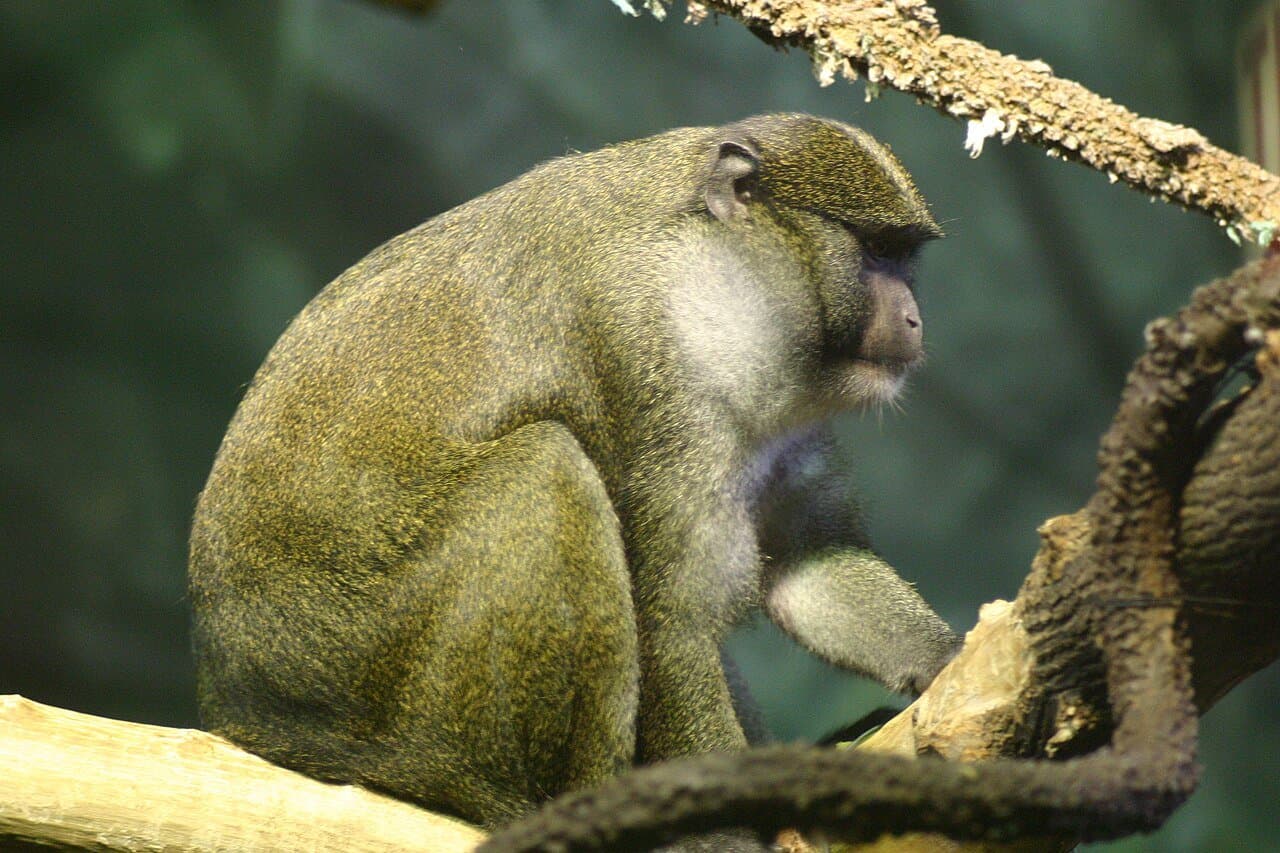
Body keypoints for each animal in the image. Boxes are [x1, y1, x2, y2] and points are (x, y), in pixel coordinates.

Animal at [188, 113, 960, 850]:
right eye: (875, 252)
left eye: (906, 258)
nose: (915, 319)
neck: (714, 272)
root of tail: (245, 709)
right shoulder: (640, 350)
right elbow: (671, 617)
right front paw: (725, 832)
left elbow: (809, 563)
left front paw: (949, 659)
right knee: (544, 468)